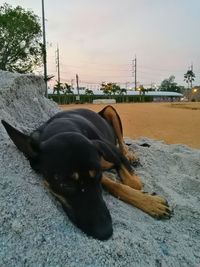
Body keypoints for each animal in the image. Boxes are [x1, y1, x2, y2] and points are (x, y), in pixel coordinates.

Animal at [1, 106, 172, 241]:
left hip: (110, 111)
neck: (62, 128)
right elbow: (117, 185)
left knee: (122, 142)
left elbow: (134, 184)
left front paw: (150, 202)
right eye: (64, 184)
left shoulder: (110, 153)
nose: (106, 232)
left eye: (97, 176)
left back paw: (131, 155)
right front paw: (150, 202)